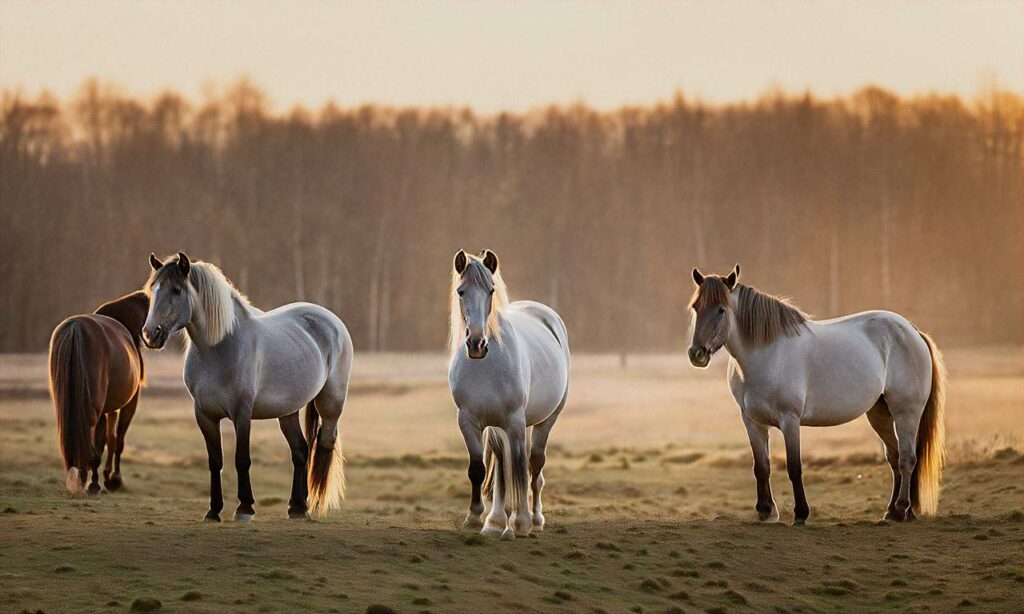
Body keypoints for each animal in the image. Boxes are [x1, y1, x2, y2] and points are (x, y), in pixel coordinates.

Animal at [48, 290, 149, 497]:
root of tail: (75, 328)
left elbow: (108, 439)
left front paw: (105, 476)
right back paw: (90, 481)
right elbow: (116, 440)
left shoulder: (109, 407)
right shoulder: (128, 403)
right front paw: (112, 479)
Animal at [142, 253, 352, 521]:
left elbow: (242, 458)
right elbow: (215, 460)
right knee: (300, 451)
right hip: (287, 411)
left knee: (324, 441)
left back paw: (310, 504)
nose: (150, 335)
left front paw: (244, 508)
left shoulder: (241, 412)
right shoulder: (204, 415)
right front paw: (213, 510)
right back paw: (297, 507)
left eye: (176, 290)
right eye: (153, 290)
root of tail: (330, 319)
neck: (218, 347)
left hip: (331, 403)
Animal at [688, 264, 942, 521]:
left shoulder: (789, 419)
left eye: (721, 309)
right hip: (880, 413)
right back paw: (893, 512)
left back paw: (901, 508)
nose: (696, 354)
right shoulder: (752, 421)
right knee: (894, 457)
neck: (766, 354)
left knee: (907, 458)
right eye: (696, 307)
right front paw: (765, 511)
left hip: (906, 413)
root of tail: (913, 331)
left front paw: (801, 512)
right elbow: (761, 467)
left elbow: (794, 466)